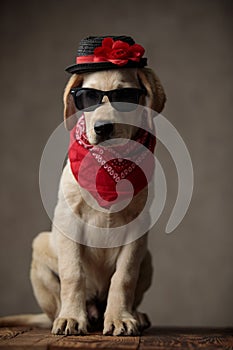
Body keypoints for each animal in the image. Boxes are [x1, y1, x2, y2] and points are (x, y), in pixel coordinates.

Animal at [0, 37, 166, 334]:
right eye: (88, 97)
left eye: (125, 98)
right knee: (58, 302)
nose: (103, 128)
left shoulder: (137, 228)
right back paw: (71, 315)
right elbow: (72, 273)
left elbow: (124, 276)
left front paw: (120, 318)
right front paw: (71, 317)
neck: (109, 166)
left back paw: (133, 315)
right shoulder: (68, 220)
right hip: (40, 245)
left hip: (147, 258)